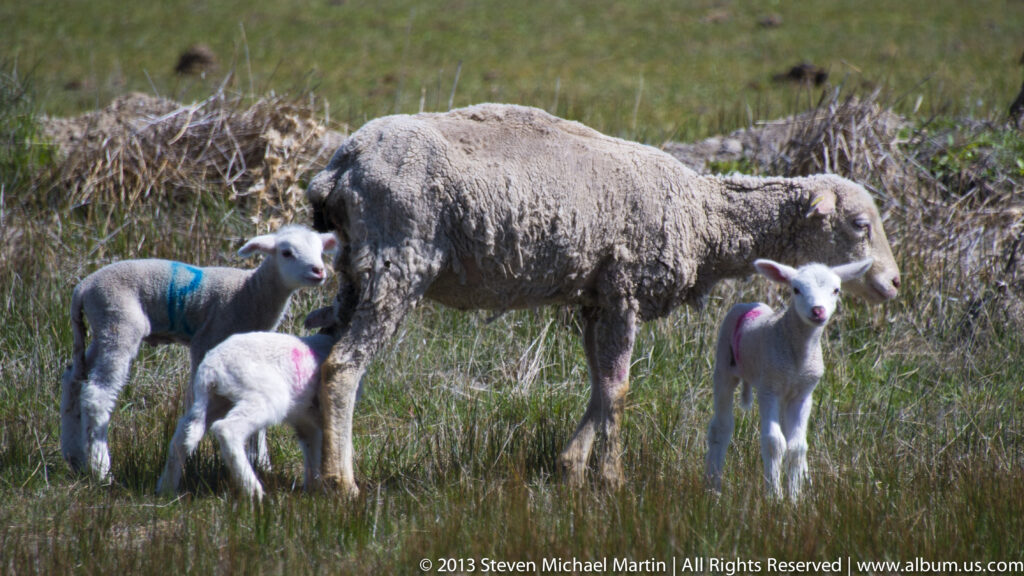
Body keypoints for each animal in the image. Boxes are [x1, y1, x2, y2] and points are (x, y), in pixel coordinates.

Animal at [60, 225, 339, 480]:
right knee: (97, 394)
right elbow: (194, 399)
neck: (250, 292)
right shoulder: (207, 339)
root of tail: (83, 288)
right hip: (119, 321)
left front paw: (262, 462)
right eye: (286, 252)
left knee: (73, 379)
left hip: (102, 328)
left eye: (320, 251)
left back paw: (75, 457)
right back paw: (101, 470)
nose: (319, 271)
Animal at [157, 306, 339, 500]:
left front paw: (314, 490)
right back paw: (254, 491)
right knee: (227, 429)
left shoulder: (306, 419)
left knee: (184, 433)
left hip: (216, 401)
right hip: (261, 396)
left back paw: (166, 488)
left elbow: (312, 448)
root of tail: (210, 370)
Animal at [704, 258, 872, 500]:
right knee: (721, 427)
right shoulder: (768, 388)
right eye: (796, 289)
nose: (818, 311)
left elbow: (797, 446)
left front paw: (794, 497)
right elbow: (774, 442)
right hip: (724, 367)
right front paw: (774, 496)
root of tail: (748, 304)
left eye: (836, 290)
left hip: (784, 393)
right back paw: (712, 487)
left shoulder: (803, 394)